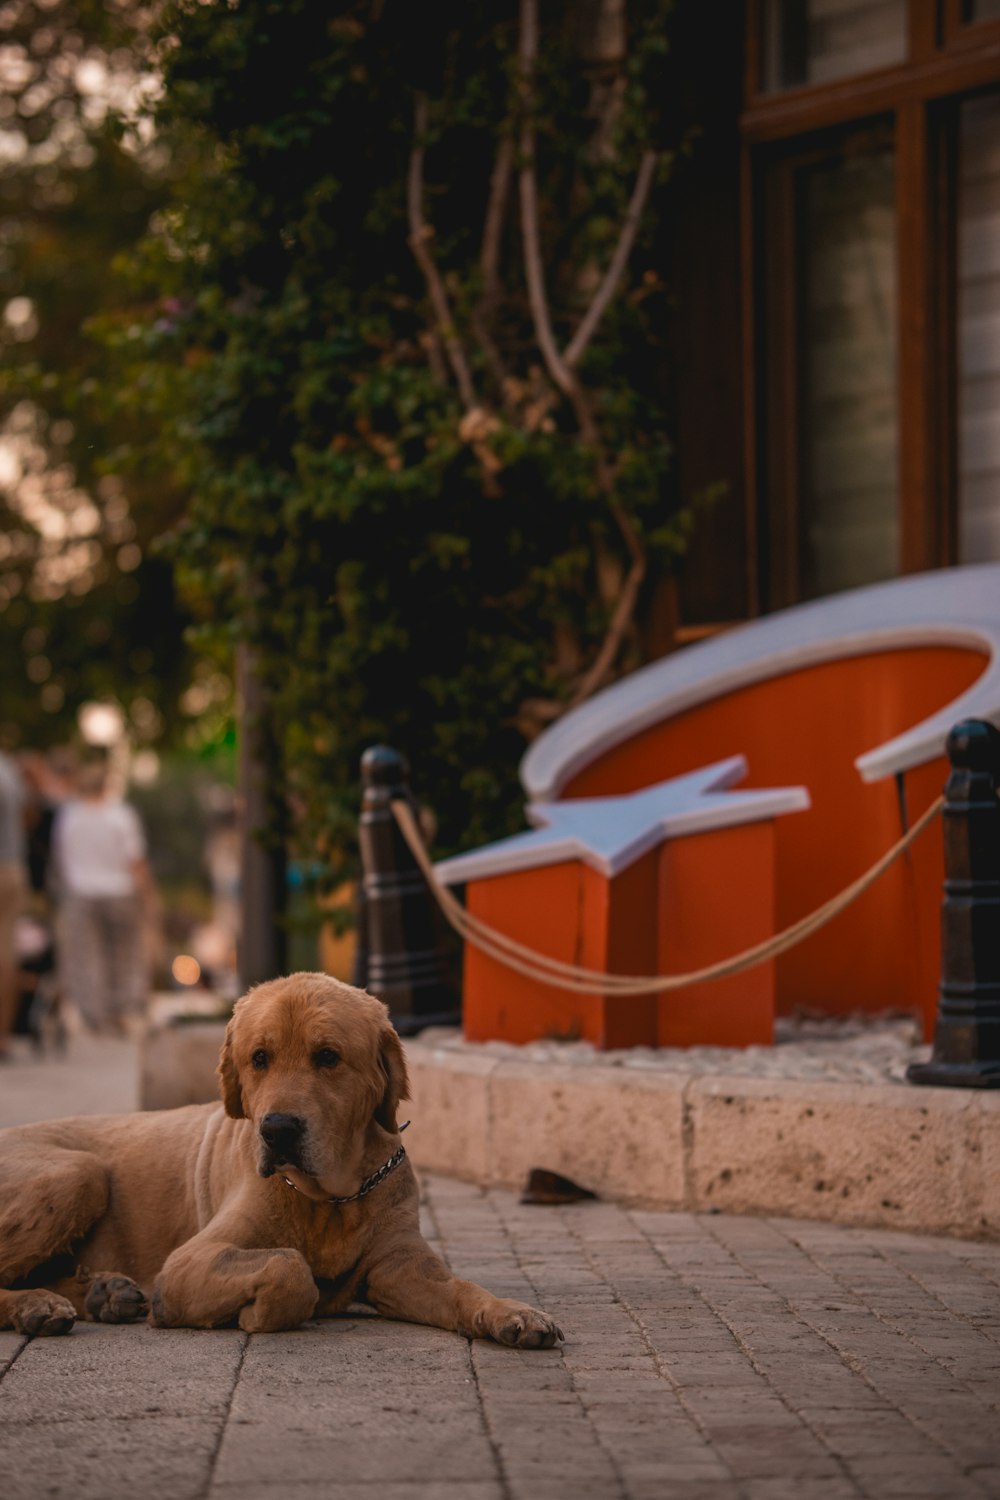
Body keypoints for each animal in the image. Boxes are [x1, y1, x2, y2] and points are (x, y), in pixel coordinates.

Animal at [0, 972, 563, 1350]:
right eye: (259, 1058)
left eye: (328, 1057)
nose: (278, 1130)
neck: (331, 1201)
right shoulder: (188, 1263)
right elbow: (290, 1268)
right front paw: (259, 1313)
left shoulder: (400, 1265)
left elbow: (462, 1288)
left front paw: (512, 1313)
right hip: (80, 1173)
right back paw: (39, 1306)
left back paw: (103, 1293)